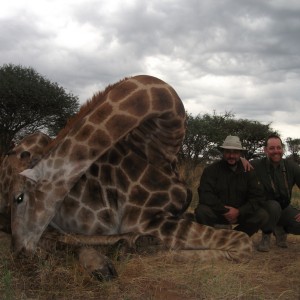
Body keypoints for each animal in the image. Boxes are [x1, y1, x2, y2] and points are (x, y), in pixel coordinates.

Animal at [8, 74, 252, 278]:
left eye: (20, 198)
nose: (19, 252)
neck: (160, 149)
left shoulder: (178, 212)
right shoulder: (147, 219)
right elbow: (242, 243)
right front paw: (154, 251)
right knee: (53, 237)